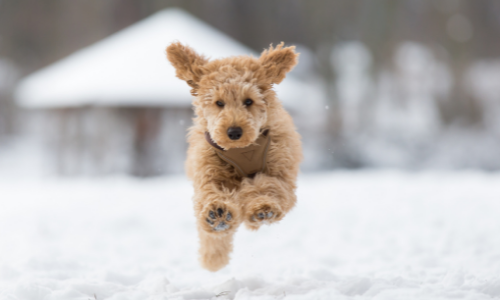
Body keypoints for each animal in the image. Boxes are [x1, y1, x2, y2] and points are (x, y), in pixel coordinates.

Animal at [166, 42, 302, 272]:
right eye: (219, 103)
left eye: (248, 101)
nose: (234, 132)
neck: (240, 149)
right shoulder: (208, 172)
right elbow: (210, 195)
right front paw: (217, 212)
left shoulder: (280, 171)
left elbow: (268, 186)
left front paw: (263, 207)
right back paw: (215, 249)